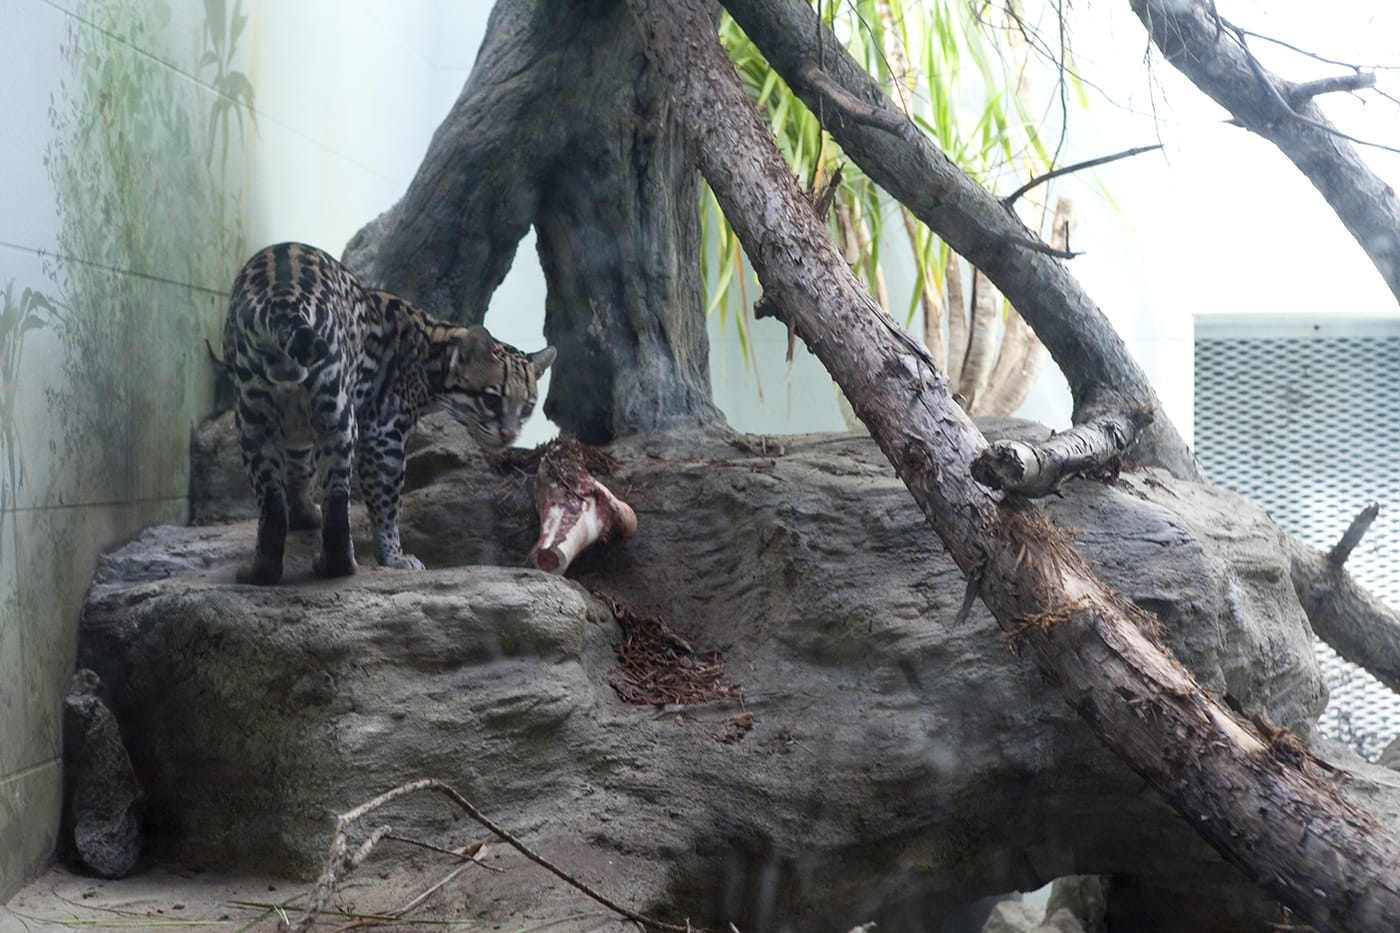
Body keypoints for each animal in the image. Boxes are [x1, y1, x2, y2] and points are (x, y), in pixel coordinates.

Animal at [221, 243, 554, 585]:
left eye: (528, 407)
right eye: (491, 399)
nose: (510, 435)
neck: (433, 352)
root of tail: (284, 296)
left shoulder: (298, 429)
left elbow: (300, 469)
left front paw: (302, 513)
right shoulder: (385, 431)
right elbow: (387, 501)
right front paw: (394, 556)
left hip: (261, 421)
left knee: (274, 502)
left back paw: (263, 570)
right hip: (339, 411)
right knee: (339, 499)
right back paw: (337, 565)